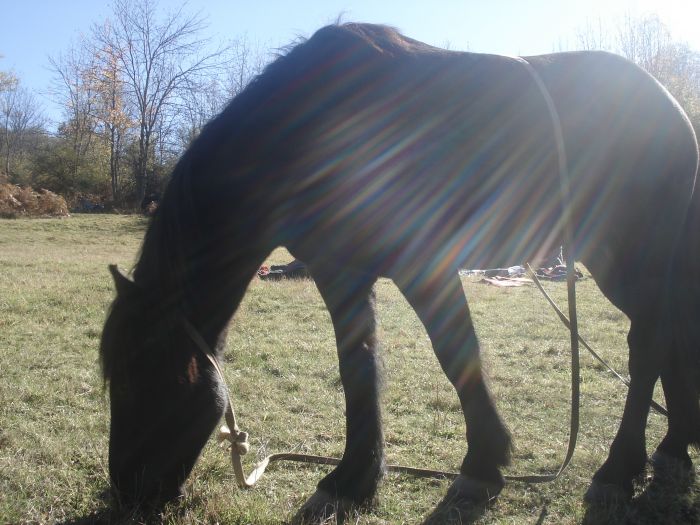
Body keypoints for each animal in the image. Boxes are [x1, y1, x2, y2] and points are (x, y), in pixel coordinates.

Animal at [101, 23, 696, 516]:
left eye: (135, 379)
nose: (128, 491)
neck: (309, 129)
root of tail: (671, 107)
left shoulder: (423, 264)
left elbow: (457, 356)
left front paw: (482, 466)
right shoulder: (340, 272)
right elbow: (357, 368)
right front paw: (353, 478)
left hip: (630, 255)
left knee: (648, 346)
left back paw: (618, 471)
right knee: (668, 341)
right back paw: (672, 449)